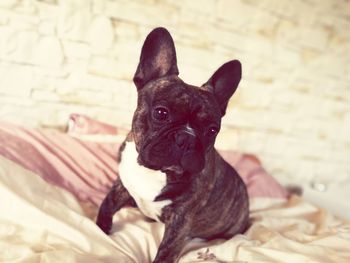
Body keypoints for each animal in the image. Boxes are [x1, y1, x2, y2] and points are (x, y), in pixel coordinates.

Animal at [95, 27, 249, 263]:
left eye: (212, 130)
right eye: (161, 113)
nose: (187, 138)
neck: (155, 172)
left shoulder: (180, 222)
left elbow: (166, 252)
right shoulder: (121, 185)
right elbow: (107, 205)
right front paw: (99, 229)